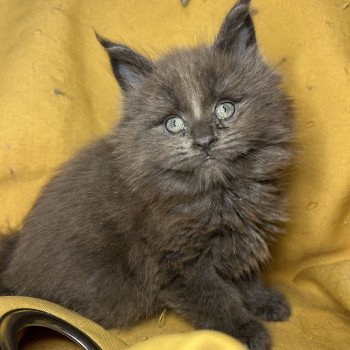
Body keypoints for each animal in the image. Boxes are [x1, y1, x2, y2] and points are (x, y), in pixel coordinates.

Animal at [0, 1, 292, 348]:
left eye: (225, 108)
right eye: (174, 123)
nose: (204, 140)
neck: (219, 194)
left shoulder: (240, 237)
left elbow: (245, 274)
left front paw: (264, 300)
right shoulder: (177, 266)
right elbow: (215, 300)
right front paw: (244, 331)